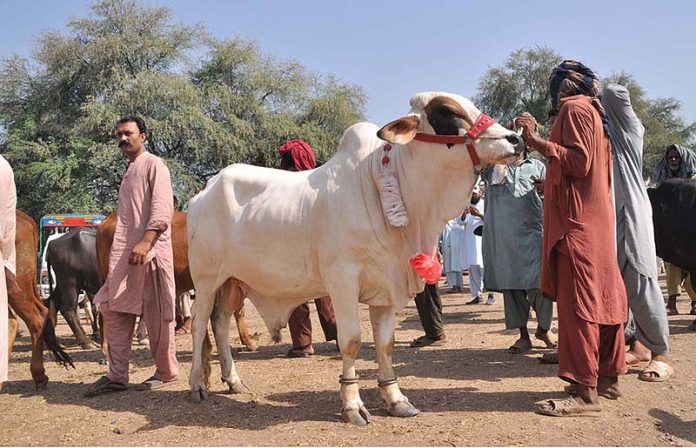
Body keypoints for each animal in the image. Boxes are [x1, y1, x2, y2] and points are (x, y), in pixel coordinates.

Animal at [186, 92, 524, 424]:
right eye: (447, 113)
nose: (516, 140)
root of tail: (205, 189)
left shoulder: (387, 287)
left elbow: (385, 345)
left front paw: (395, 399)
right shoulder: (343, 280)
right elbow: (351, 341)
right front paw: (351, 404)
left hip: (233, 282)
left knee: (220, 323)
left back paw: (234, 381)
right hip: (206, 279)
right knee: (199, 323)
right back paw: (198, 384)